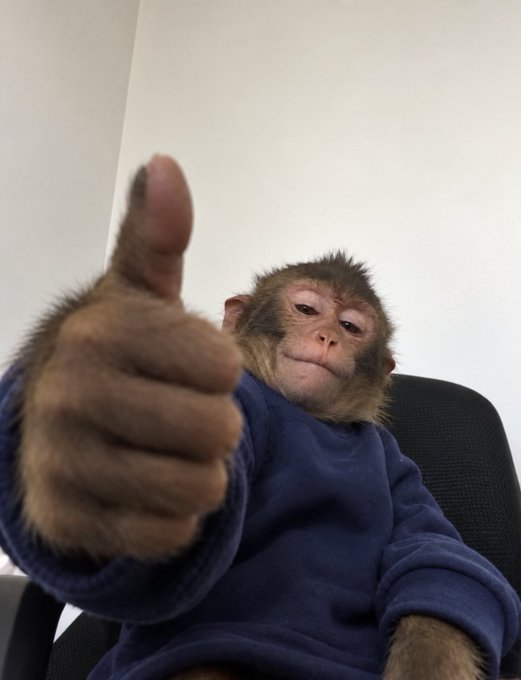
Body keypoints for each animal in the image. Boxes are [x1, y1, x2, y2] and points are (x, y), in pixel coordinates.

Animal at [0, 155, 519, 680]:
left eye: (351, 326)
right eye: (307, 308)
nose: (328, 336)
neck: (307, 412)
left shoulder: (398, 464)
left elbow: (431, 552)